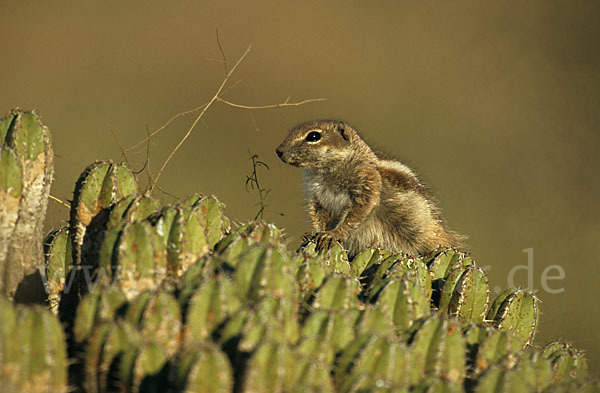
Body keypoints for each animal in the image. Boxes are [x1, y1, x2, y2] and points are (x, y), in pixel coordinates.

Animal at [274, 118, 462, 258]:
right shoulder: (315, 196)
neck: (327, 172)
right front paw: (314, 233)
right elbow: (316, 214)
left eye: (313, 136)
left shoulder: (367, 183)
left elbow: (358, 212)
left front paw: (333, 234)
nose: (279, 151)